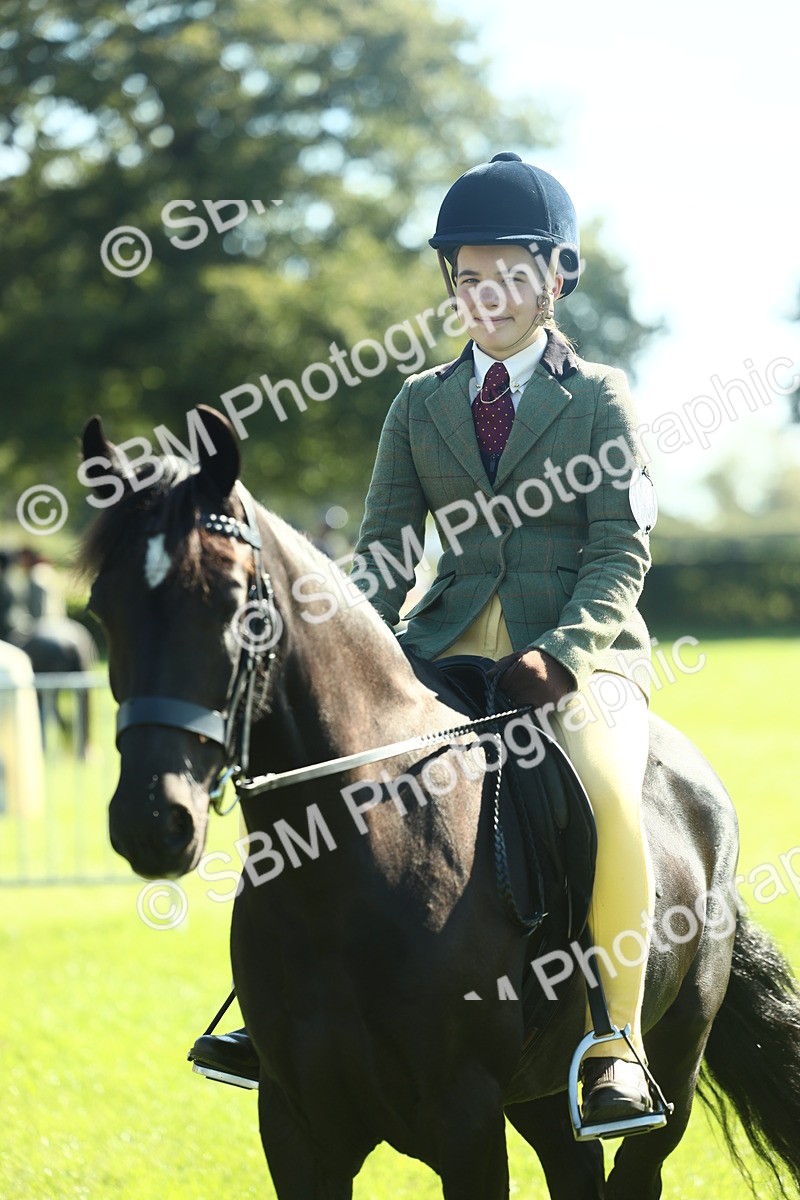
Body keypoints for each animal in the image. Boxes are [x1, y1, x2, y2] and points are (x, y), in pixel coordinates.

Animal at [78, 405, 800, 1200]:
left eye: (236, 604)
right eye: (101, 607)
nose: (152, 820)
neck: (355, 855)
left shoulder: (465, 1121)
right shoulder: (298, 1128)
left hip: (673, 1060)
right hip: (540, 1094)